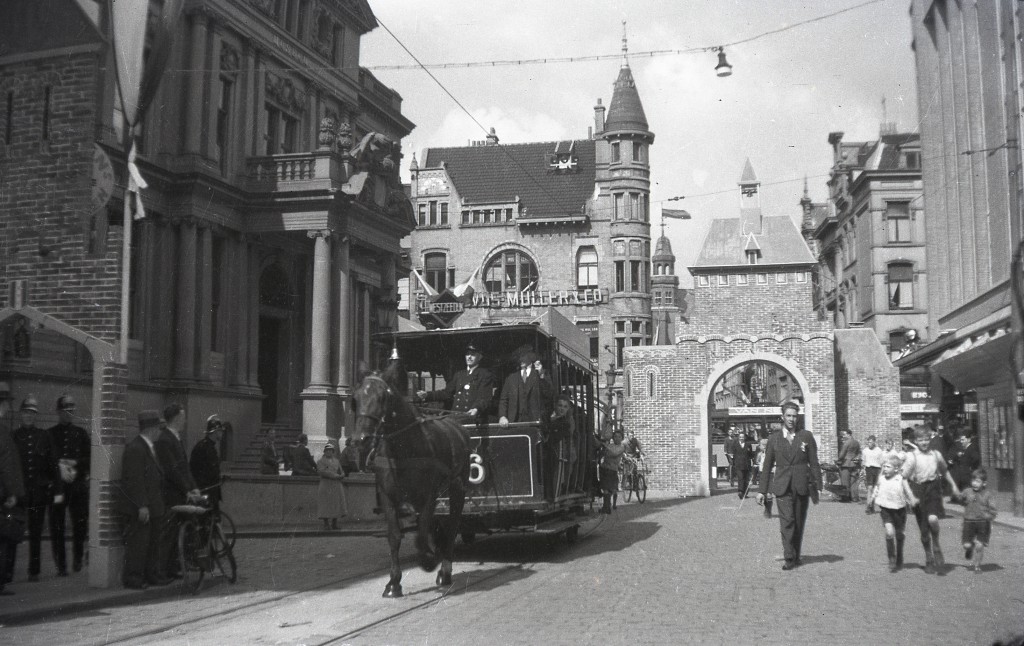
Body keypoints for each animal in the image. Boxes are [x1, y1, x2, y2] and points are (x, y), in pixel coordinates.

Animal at [354, 362, 473, 597]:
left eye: (383, 397)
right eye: (357, 397)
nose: (362, 439)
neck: (404, 448)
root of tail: (456, 424)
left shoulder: (429, 496)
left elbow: (421, 535)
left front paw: (429, 560)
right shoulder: (388, 497)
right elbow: (395, 536)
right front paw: (393, 583)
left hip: (458, 488)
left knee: (452, 525)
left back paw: (445, 571)